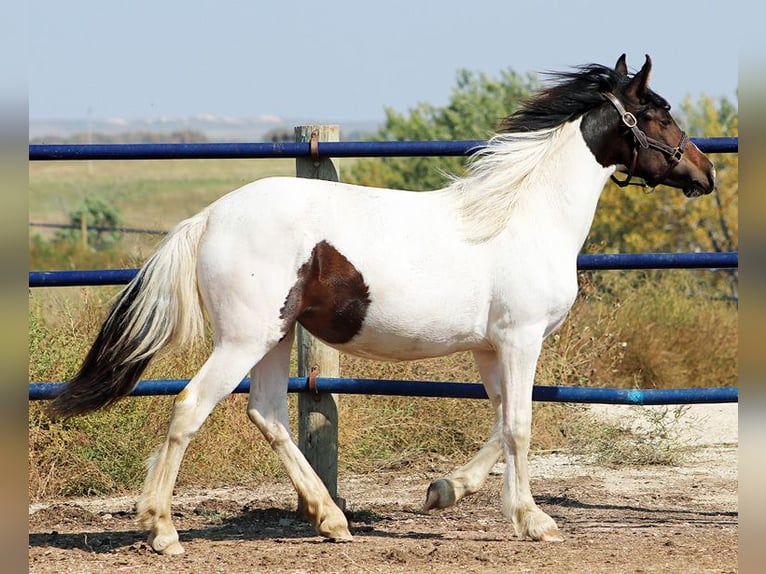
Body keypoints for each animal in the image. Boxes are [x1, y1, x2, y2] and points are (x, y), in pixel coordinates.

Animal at [48, 54, 716, 555]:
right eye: (658, 114)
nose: (705, 173)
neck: (525, 216)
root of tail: (209, 217)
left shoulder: (491, 347)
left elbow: (501, 422)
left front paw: (445, 491)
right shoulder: (520, 338)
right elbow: (521, 426)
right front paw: (535, 522)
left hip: (275, 338)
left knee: (268, 412)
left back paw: (331, 519)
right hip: (244, 338)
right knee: (190, 406)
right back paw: (162, 530)